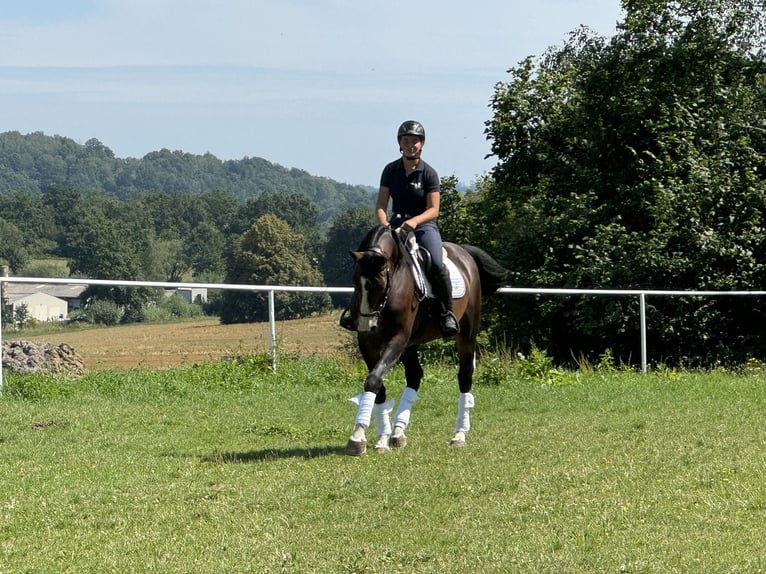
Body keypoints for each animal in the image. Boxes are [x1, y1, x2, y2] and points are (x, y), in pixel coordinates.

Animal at [344, 226, 512, 460]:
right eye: (354, 282)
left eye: (379, 284)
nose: (367, 324)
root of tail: (463, 252)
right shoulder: (367, 342)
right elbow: (377, 384)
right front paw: (380, 437)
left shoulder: (399, 338)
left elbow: (374, 380)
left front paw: (357, 438)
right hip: (411, 344)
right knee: (415, 375)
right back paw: (398, 432)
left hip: (466, 334)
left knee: (465, 376)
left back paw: (459, 435)